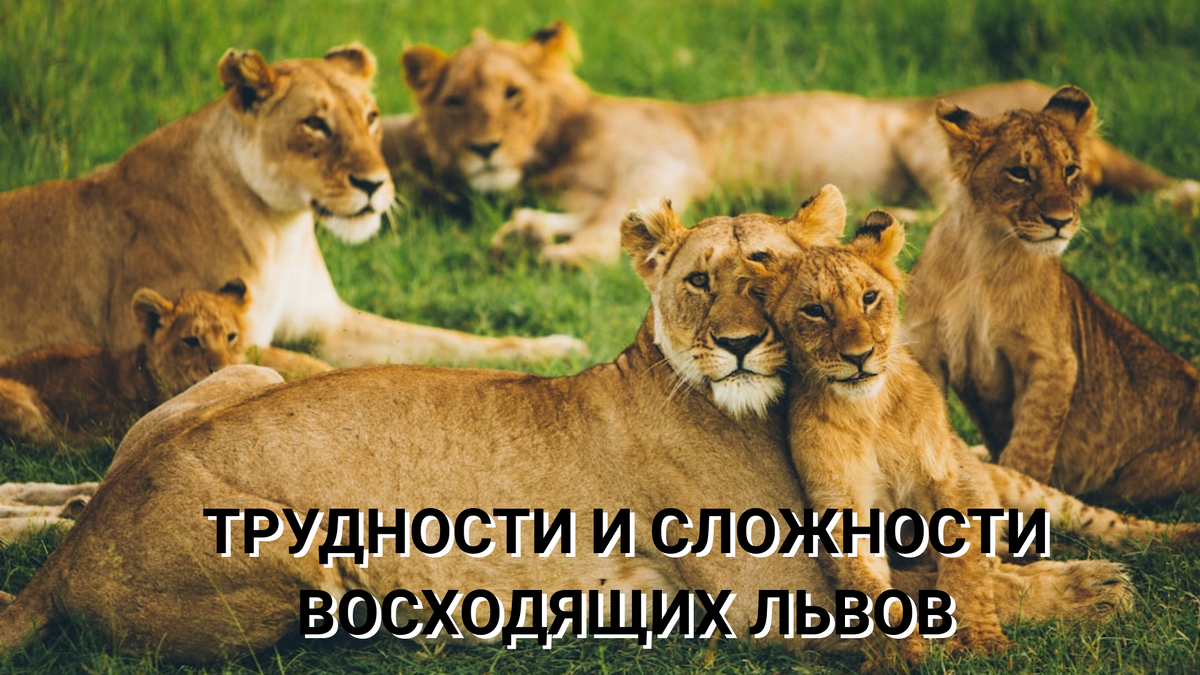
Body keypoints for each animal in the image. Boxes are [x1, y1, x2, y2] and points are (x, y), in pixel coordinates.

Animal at [0, 44, 584, 367]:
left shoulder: (331, 324)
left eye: (371, 117)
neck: (283, 229)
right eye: (315, 124)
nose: (375, 184)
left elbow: (449, 340)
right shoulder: (185, 339)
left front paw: (556, 348)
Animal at [384, 20, 1199, 266]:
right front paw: (524, 231)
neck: (555, 148)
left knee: (958, 210)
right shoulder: (595, 188)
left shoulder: (663, 161)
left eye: (512, 95)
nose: (484, 149)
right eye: (455, 101)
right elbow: (582, 216)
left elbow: (602, 230)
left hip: (922, 134)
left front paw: (552, 254)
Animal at [904, 85, 1200, 506]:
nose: (1061, 221)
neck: (984, 252)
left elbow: (1030, 445)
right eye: (1020, 172)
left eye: (1070, 170)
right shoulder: (925, 348)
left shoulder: (1053, 359)